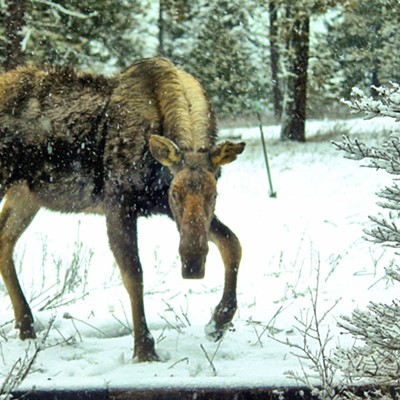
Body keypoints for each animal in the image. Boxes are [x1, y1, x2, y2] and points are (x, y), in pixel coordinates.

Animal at [0, 57, 245, 362]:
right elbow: (133, 273)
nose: (192, 265)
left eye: (214, 193)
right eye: (175, 193)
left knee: (5, 241)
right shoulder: (119, 202)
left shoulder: (163, 208)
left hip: (25, 193)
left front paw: (219, 321)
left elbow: (232, 244)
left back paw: (26, 326)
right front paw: (144, 348)